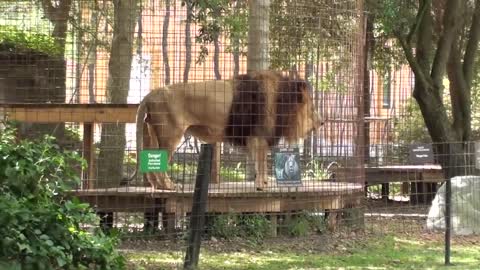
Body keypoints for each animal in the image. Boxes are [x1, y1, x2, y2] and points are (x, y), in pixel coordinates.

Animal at [133, 70, 324, 191]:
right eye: (313, 108)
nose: (322, 122)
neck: (282, 101)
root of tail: (151, 94)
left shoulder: (255, 138)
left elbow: (259, 162)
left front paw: (263, 182)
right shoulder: (259, 136)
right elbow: (261, 161)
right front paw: (261, 185)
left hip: (151, 134)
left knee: (151, 162)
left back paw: (157, 186)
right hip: (170, 135)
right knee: (160, 164)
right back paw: (169, 186)